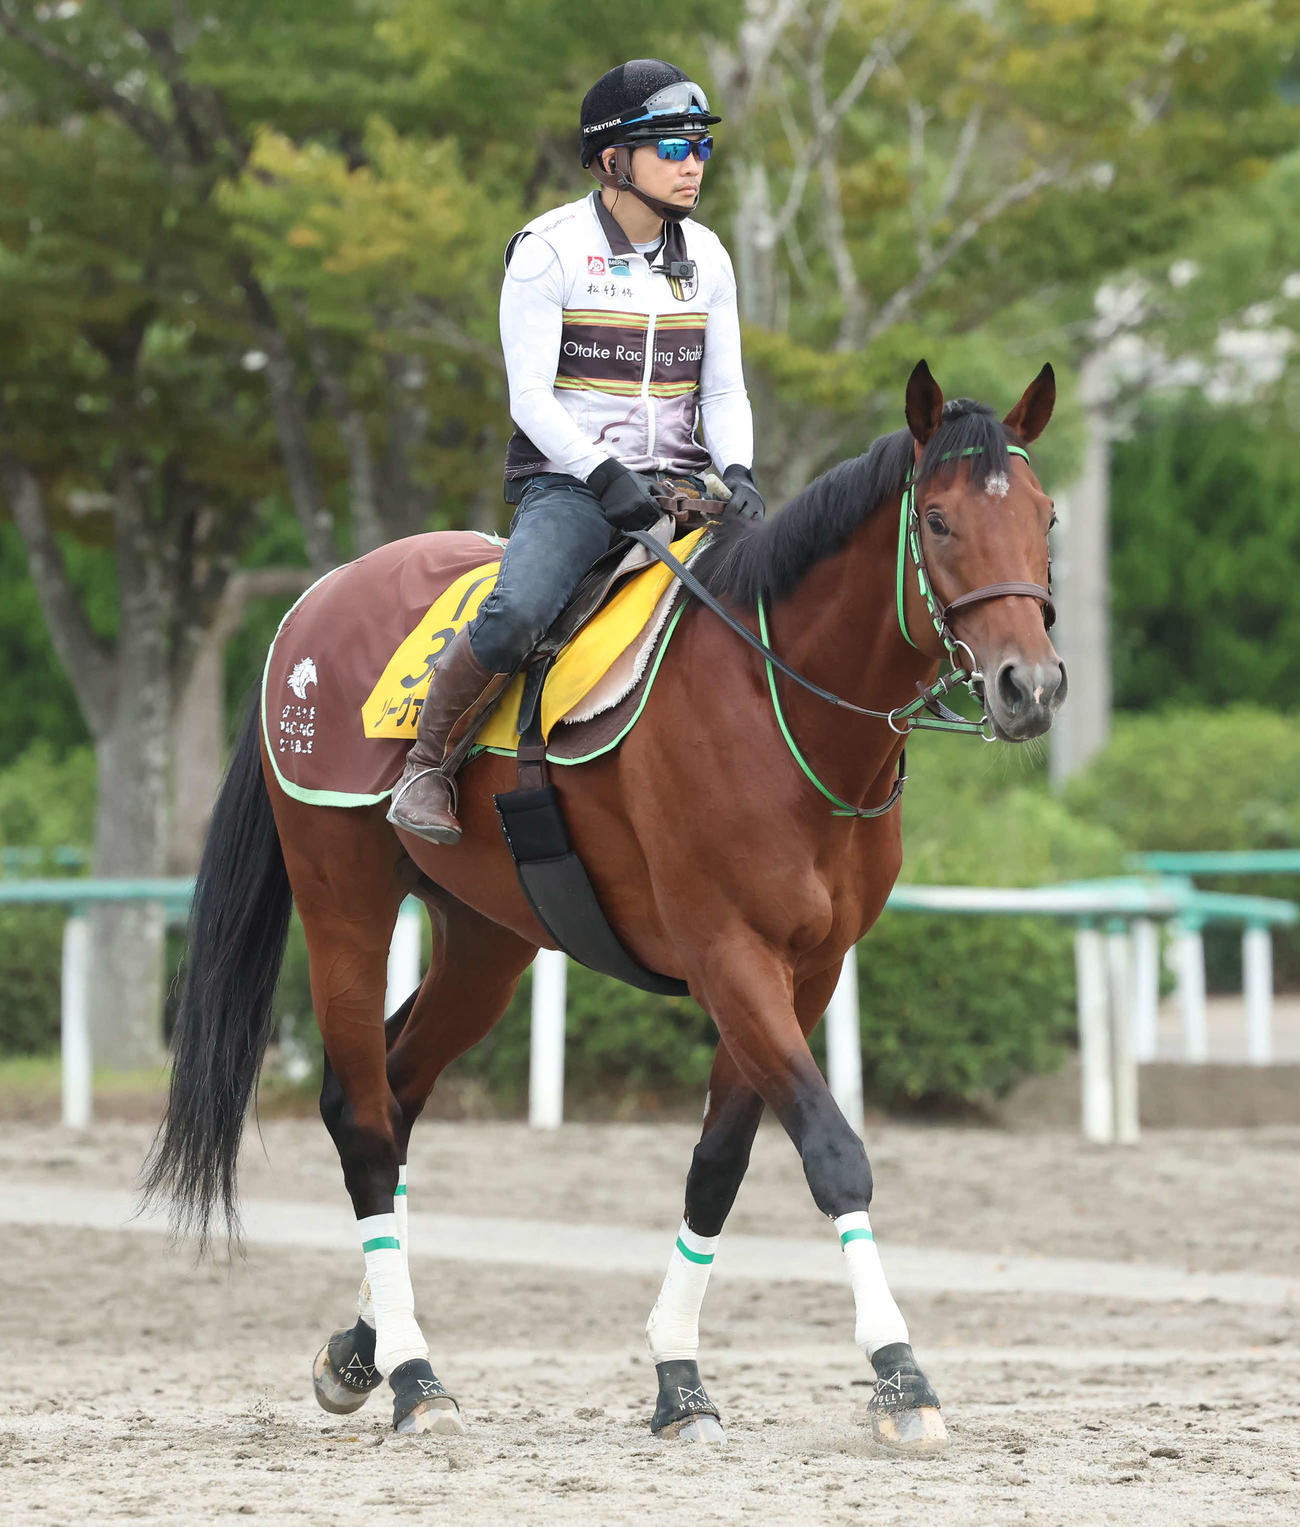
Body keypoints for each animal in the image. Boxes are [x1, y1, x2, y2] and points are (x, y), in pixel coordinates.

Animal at [142, 359, 1063, 1454]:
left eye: (1047, 519)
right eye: (938, 521)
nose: (1029, 686)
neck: (775, 705)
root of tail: (315, 604)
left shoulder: (807, 969)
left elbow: (719, 1164)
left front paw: (679, 1377)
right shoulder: (728, 955)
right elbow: (832, 1152)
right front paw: (899, 1371)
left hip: (486, 945)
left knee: (396, 1094)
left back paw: (362, 1348)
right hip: (345, 911)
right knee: (362, 1116)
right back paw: (414, 1377)